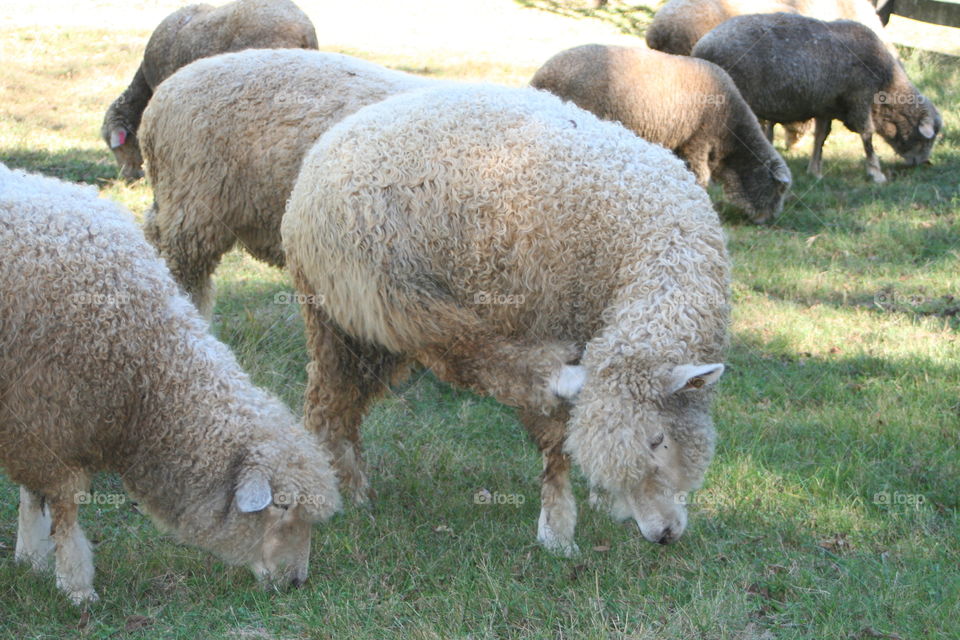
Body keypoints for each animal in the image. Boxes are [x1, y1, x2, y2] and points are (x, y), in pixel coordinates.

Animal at [0, 164, 341, 604]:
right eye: (281, 505)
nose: (296, 581)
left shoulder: (32, 422)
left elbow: (32, 496)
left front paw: (32, 558)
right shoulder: (47, 415)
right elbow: (63, 507)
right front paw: (76, 586)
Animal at [281, 84, 731, 555]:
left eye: (658, 441)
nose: (661, 535)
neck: (657, 250)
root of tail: (315, 166)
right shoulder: (550, 314)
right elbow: (555, 440)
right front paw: (557, 529)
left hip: (344, 320)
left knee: (331, 403)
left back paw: (348, 491)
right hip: (397, 291)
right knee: (462, 352)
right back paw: (559, 376)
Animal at [692, 13, 942, 183]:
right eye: (926, 140)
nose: (923, 164)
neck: (887, 83)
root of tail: (700, 47)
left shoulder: (826, 107)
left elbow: (821, 137)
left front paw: (815, 170)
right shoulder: (860, 98)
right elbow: (867, 135)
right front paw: (876, 172)